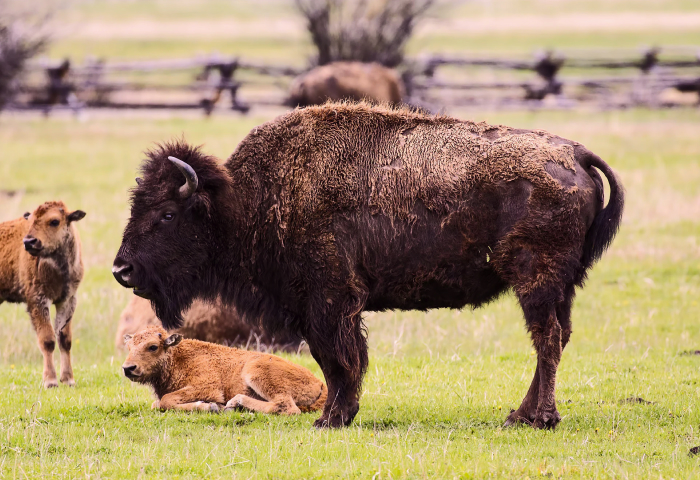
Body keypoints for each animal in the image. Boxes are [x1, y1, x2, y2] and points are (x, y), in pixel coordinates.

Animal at [0, 201, 87, 388]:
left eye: (54, 221)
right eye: (31, 220)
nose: (29, 242)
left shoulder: (67, 300)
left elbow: (64, 339)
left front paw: (68, 379)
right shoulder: (38, 299)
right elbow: (47, 339)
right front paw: (50, 380)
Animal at [122, 326, 326, 416]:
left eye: (153, 346)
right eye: (129, 347)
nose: (128, 368)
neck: (178, 357)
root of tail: (320, 384)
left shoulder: (207, 387)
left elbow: (166, 400)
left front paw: (211, 406)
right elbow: (157, 403)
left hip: (255, 372)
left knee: (287, 406)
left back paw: (236, 403)